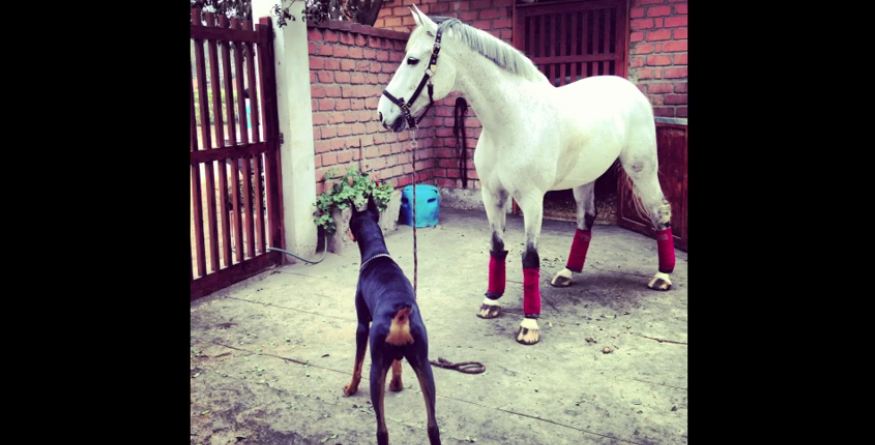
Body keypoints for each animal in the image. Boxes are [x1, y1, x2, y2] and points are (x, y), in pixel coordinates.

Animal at [340, 194, 442, 444]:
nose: (346, 232)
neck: (377, 254)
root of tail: (401, 313)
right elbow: (398, 363)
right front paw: (396, 384)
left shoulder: (362, 327)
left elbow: (357, 363)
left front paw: (351, 388)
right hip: (424, 365)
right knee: (432, 426)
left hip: (376, 368)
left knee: (382, 429)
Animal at [378, 6, 676, 346]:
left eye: (413, 60)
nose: (384, 115)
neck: (511, 122)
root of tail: (629, 89)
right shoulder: (492, 196)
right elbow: (497, 247)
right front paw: (491, 301)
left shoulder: (532, 200)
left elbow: (529, 257)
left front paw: (529, 323)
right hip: (585, 177)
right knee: (586, 219)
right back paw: (567, 274)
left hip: (641, 168)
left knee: (659, 210)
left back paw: (662, 277)